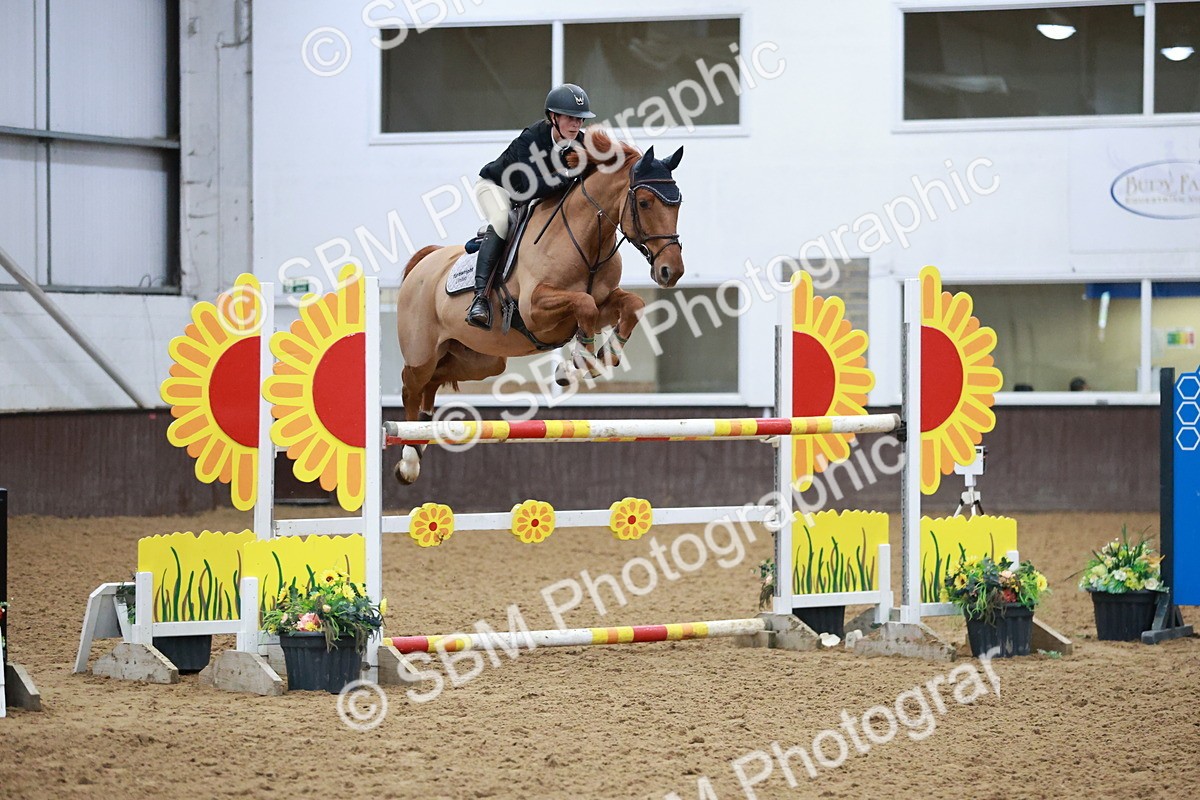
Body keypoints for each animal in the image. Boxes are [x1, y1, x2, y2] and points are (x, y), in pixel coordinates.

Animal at [394, 128, 686, 484]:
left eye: (678, 202)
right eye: (644, 202)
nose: (671, 271)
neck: (587, 240)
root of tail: (425, 262)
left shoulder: (604, 301)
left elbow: (632, 303)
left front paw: (605, 355)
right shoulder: (536, 310)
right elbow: (584, 305)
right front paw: (578, 362)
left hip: (481, 359)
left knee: (436, 379)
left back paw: (420, 439)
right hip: (422, 353)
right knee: (411, 386)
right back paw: (409, 460)